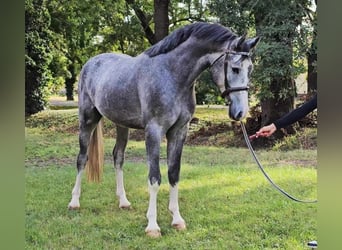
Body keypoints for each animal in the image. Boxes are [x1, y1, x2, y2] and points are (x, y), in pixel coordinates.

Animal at [67, 22, 260, 237]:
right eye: (235, 68)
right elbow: (154, 178)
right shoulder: (154, 131)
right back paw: (74, 202)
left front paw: (177, 219)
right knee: (82, 159)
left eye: (250, 69)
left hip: (121, 125)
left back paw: (123, 201)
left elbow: (173, 174)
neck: (172, 75)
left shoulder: (179, 132)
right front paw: (152, 226)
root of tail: (91, 63)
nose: (240, 112)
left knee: (118, 157)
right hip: (87, 120)